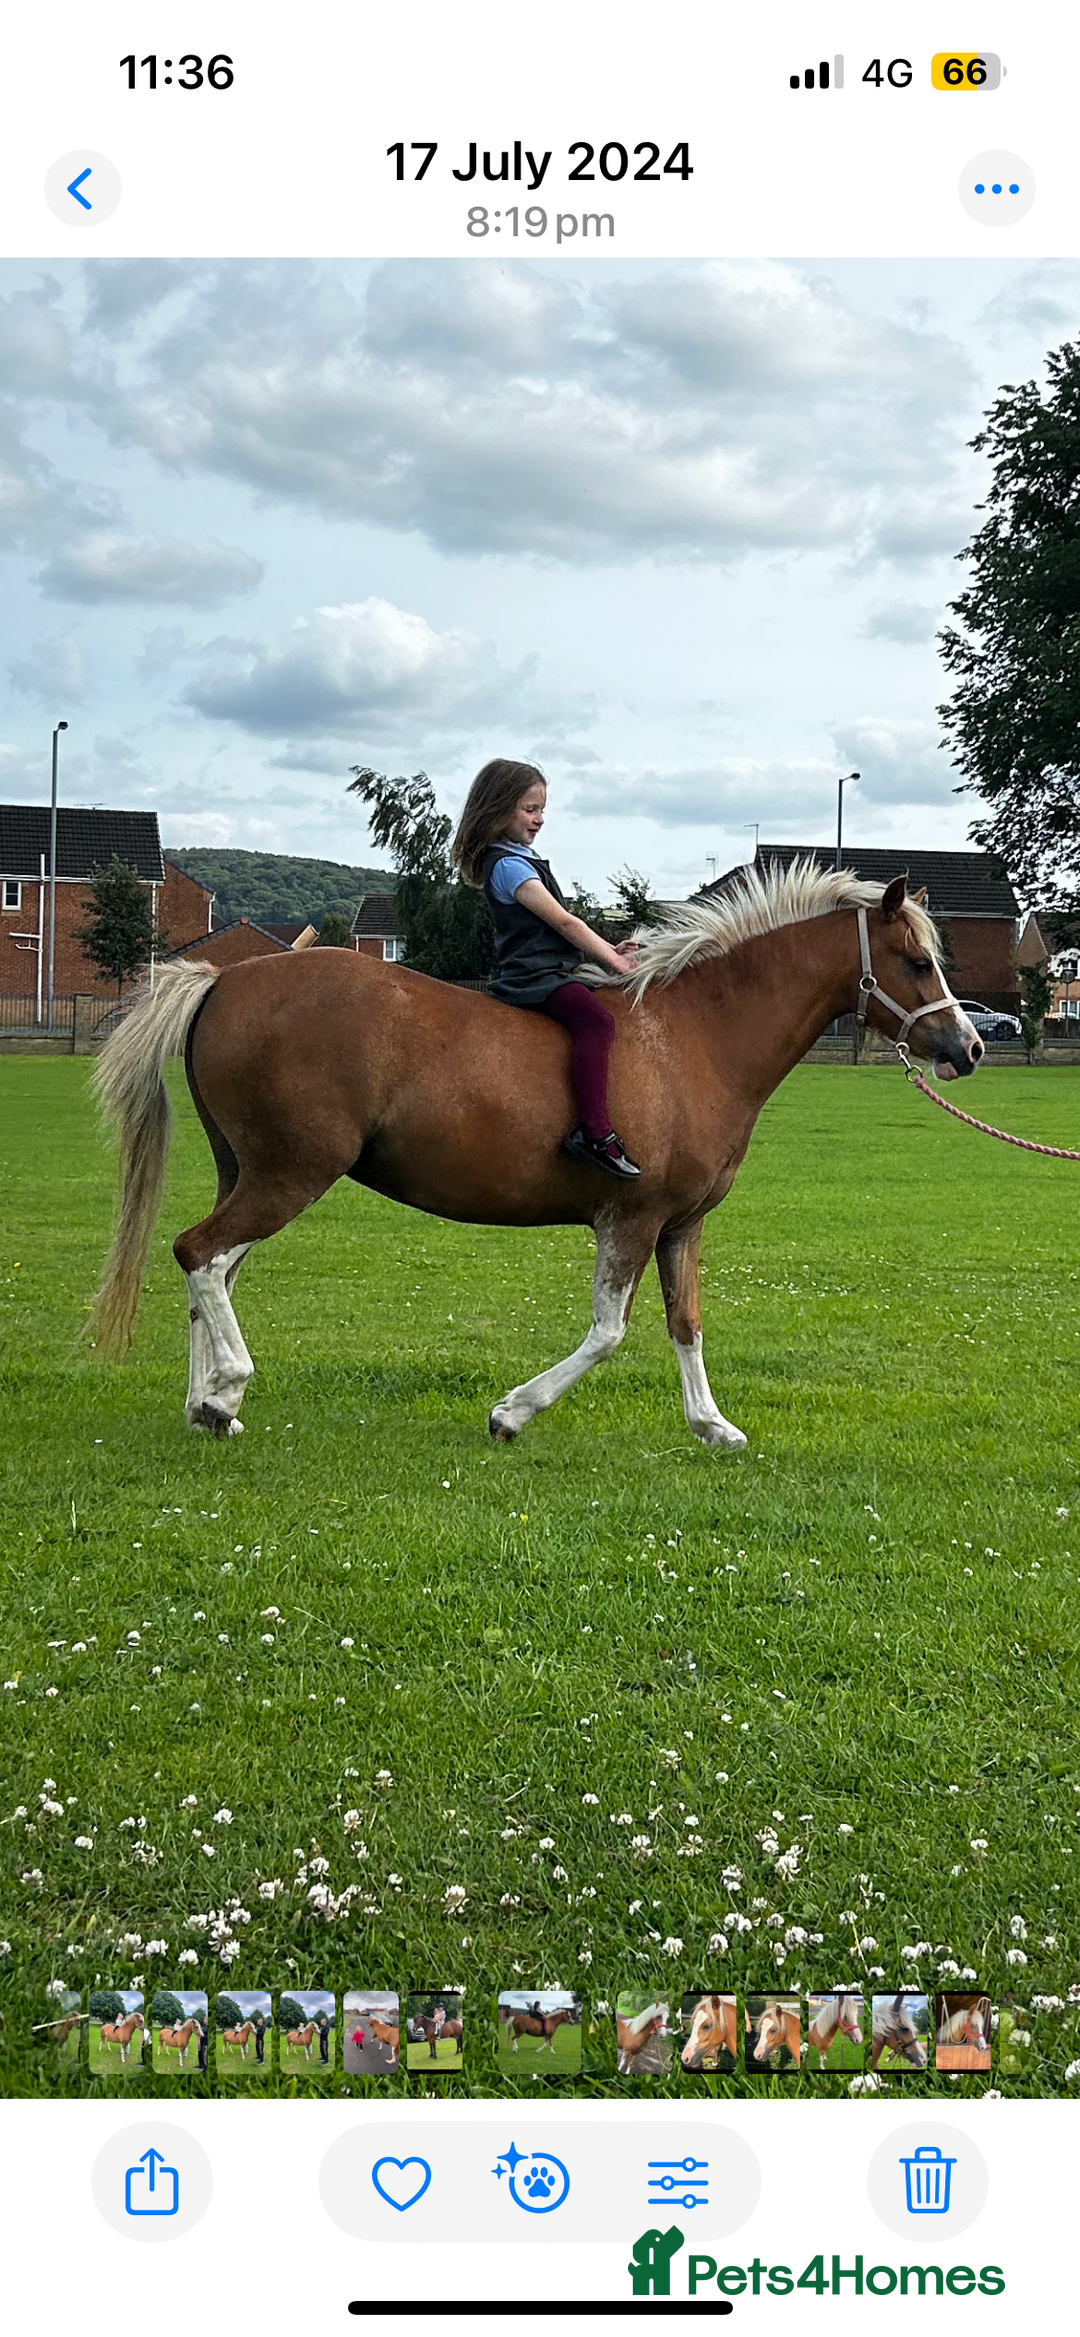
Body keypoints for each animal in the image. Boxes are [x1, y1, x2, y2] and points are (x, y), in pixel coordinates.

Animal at [89, 865, 980, 1446]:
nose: (969, 1047)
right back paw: (225, 1388)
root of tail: (222, 981)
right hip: (289, 1176)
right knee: (199, 1254)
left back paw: (208, 1403)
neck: (695, 1036)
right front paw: (512, 1411)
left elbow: (686, 1321)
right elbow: (608, 1332)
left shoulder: (680, 1225)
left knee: (212, 1271)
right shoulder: (631, 1218)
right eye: (916, 960)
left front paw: (711, 1423)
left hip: (250, 1174)